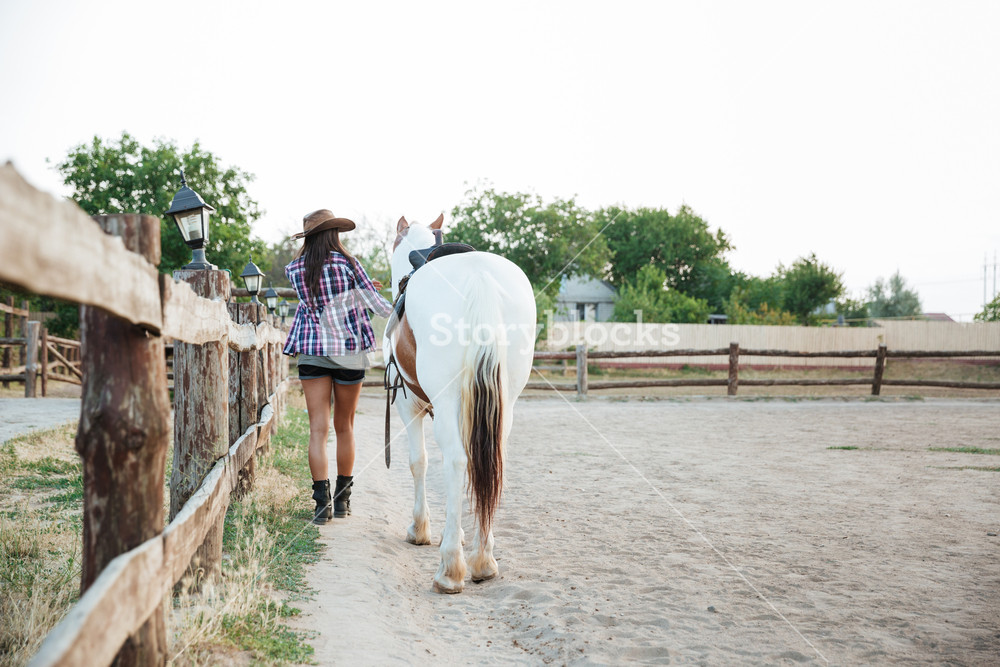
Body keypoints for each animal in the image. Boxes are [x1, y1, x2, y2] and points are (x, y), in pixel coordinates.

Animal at [384, 214, 540, 596]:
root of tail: (478, 276)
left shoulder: (408, 406)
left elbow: (419, 463)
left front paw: (421, 529)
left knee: (455, 461)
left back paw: (451, 569)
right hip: (502, 406)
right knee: (492, 462)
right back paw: (483, 560)